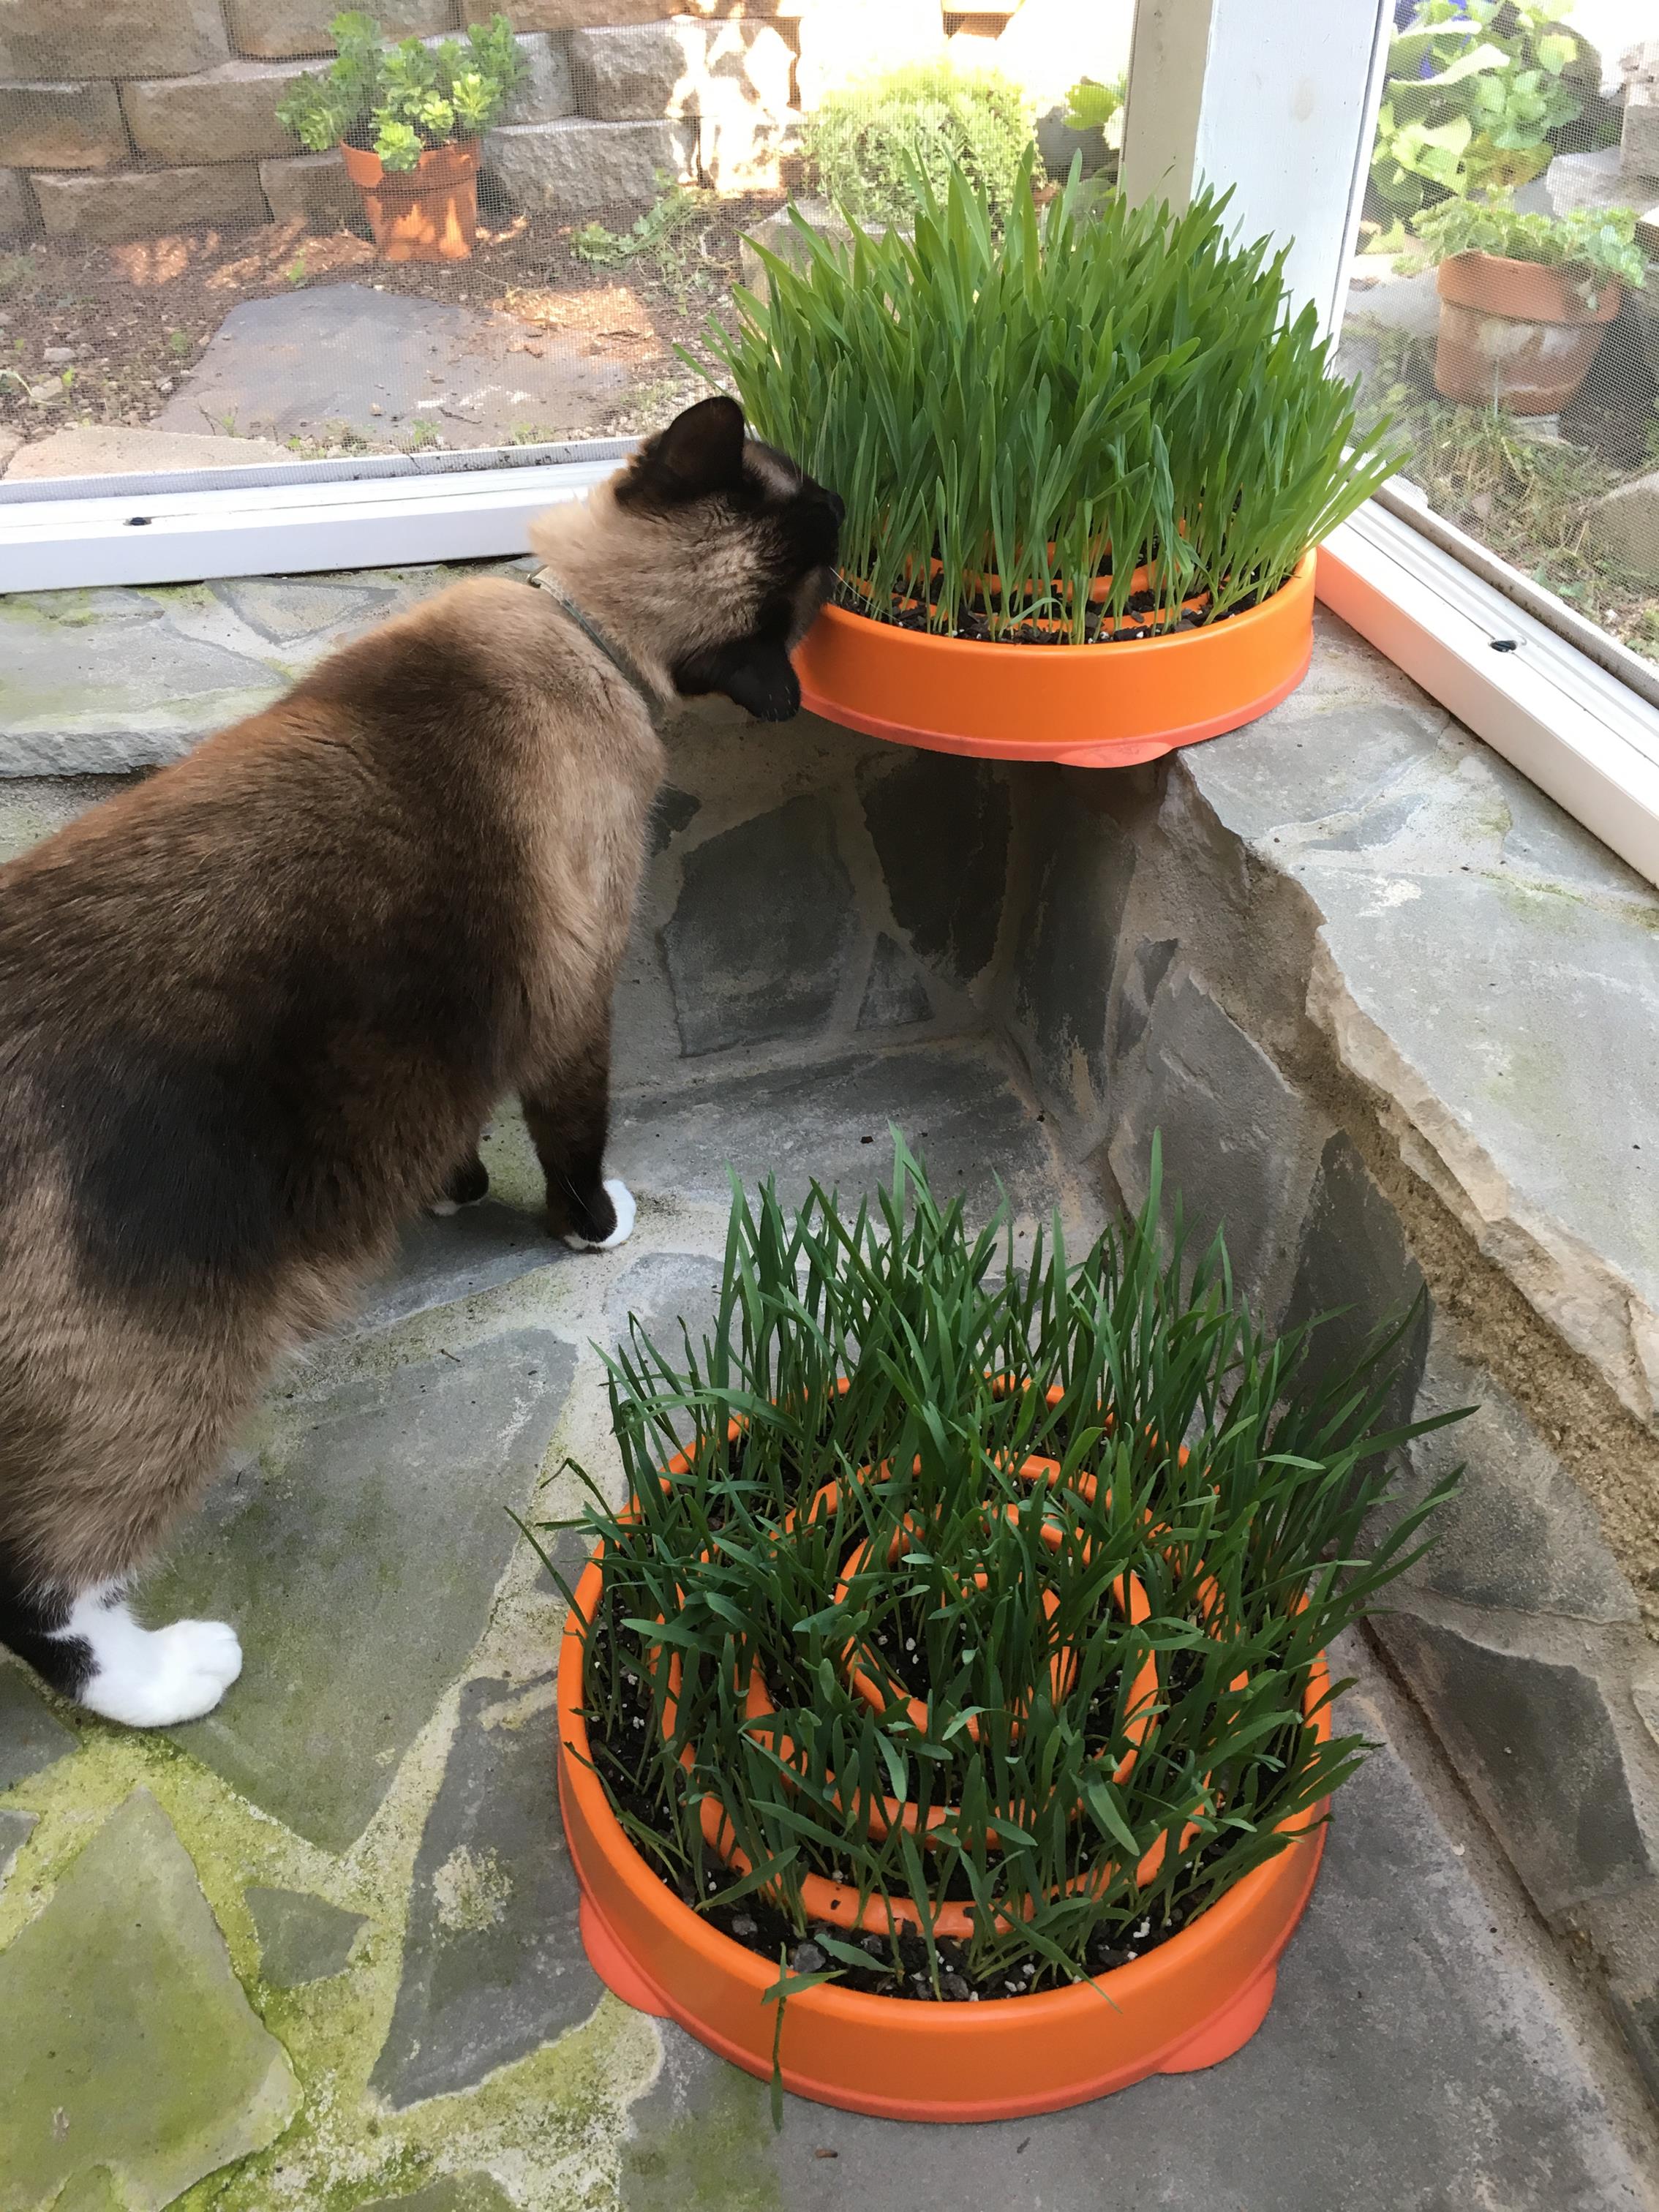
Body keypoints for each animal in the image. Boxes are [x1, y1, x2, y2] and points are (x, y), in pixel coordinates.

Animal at [0, 398, 845, 1725]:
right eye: (809, 493)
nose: (854, 495)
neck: (587, 633)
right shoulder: (573, 999)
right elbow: (573, 1142)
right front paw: (590, 1226)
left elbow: (457, 1133)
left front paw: (454, 1192)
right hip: (159, 1374)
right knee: (42, 1590)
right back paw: (174, 1675)